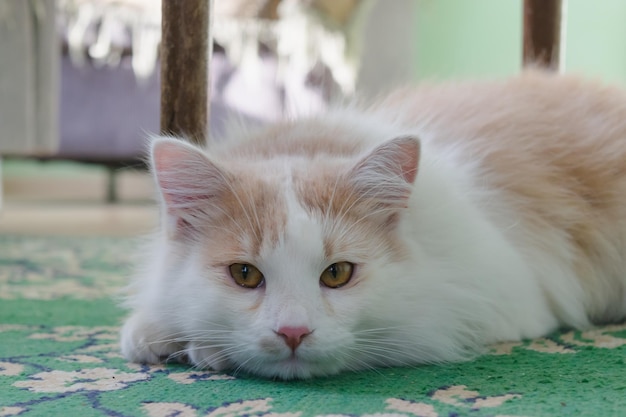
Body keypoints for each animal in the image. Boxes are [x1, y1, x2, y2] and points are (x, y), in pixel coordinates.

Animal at [118, 70, 624, 378]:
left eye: (337, 274)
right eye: (244, 275)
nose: (293, 333)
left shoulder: (499, 297)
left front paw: (204, 350)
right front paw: (156, 336)